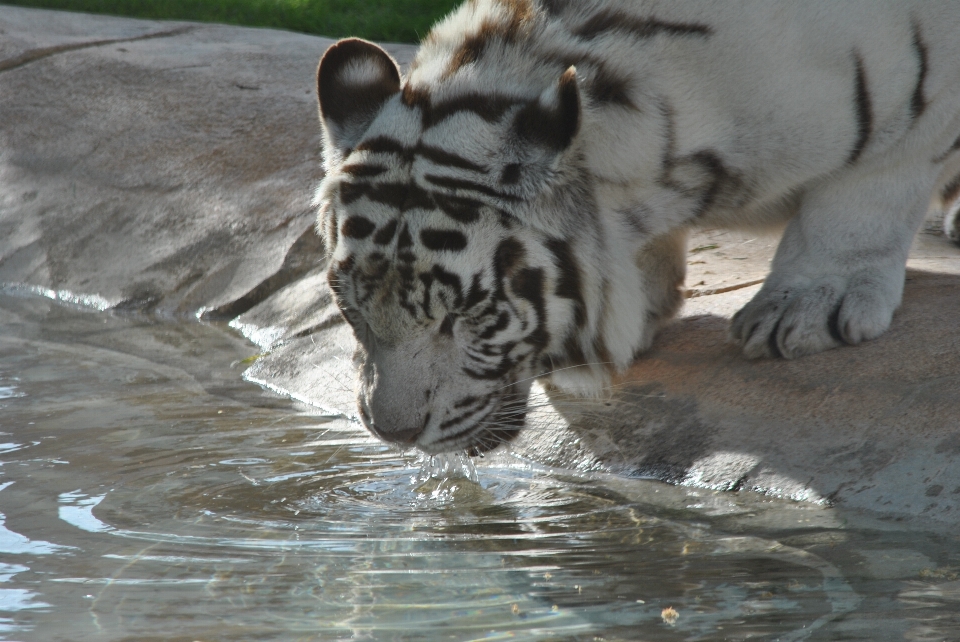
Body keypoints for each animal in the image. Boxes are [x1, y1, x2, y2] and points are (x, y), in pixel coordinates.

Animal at [314, 0, 960, 456]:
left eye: (465, 315)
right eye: (350, 308)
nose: (393, 433)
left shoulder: (920, 95)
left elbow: (864, 195)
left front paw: (804, 310)